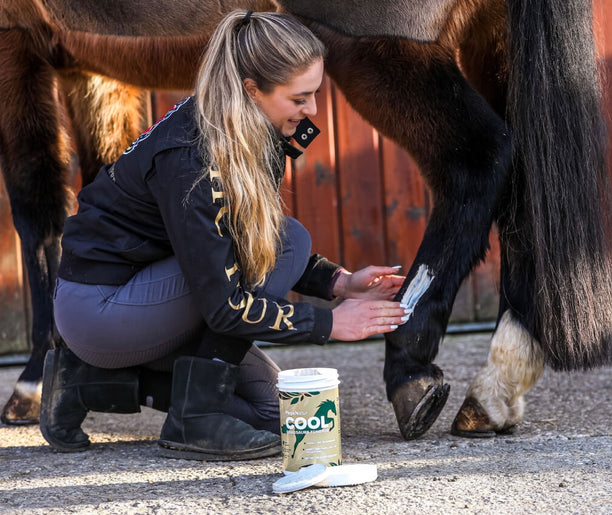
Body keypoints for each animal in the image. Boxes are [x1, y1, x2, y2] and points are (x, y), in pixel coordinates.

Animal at [1, 1, 612, 444]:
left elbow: (38, 208)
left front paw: (32, 381)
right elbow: (95, 176)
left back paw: (411, 367)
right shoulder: (85, 63)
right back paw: (495, 385)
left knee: (478, 161)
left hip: (372, 45)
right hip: (488, 36)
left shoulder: (15, 37)